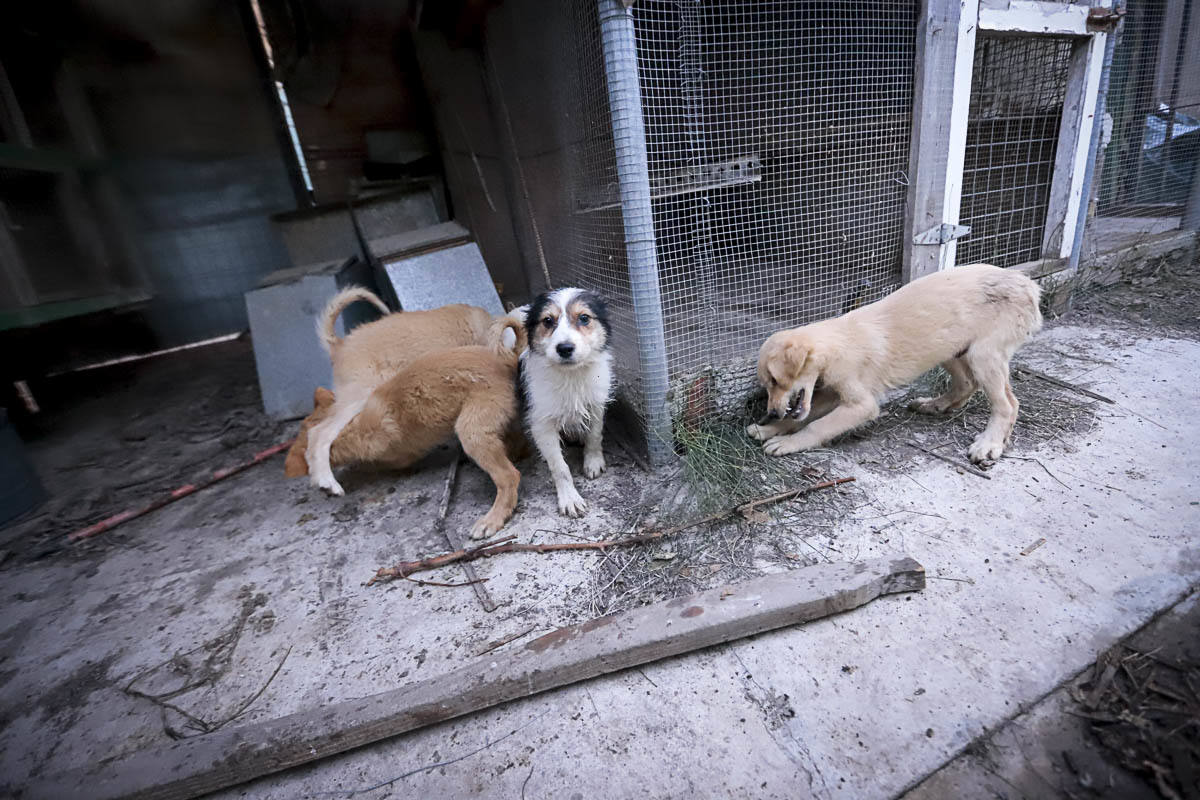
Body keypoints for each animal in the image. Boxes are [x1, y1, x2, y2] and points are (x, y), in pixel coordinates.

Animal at [283, 316, 528, 537]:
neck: (353, 423)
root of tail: (506, 360)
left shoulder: (397, 453)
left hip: (471, 432)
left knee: (509, 476)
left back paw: (492, 519)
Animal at [511, 287, 614, 520]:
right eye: (548, 320)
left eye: (584, 318)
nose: (565, 348)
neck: (571, 376)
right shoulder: (542, 425)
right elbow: (559, 467)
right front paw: (570, 498)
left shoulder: (596, 405)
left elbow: (595, 435)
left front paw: (593, 462)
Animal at [748, 262, 1041, 462]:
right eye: (768, 384)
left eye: (775, 380)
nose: (771, 413)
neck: (835, 345)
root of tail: (1028, 283)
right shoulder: (831, 394)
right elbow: (801, 417)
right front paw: (769, 429)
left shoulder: (861, 404)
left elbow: (816, 426)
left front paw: (788, 443)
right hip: (949, 350)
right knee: (968, 384)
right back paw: (935, 405)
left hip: (982, 354)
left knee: (1008, 404)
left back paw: (989, 444)